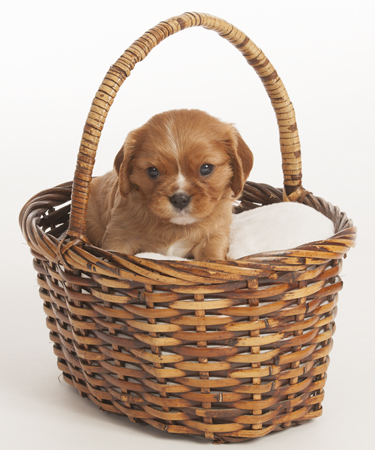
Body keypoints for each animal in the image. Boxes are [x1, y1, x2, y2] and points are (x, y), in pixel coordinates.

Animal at [86, 108, 254, 260]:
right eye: (153, 171)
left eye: (206, 168)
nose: (180, 199)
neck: (176, 227)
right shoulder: (119, 237)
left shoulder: (214, 236)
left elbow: (212, 258)